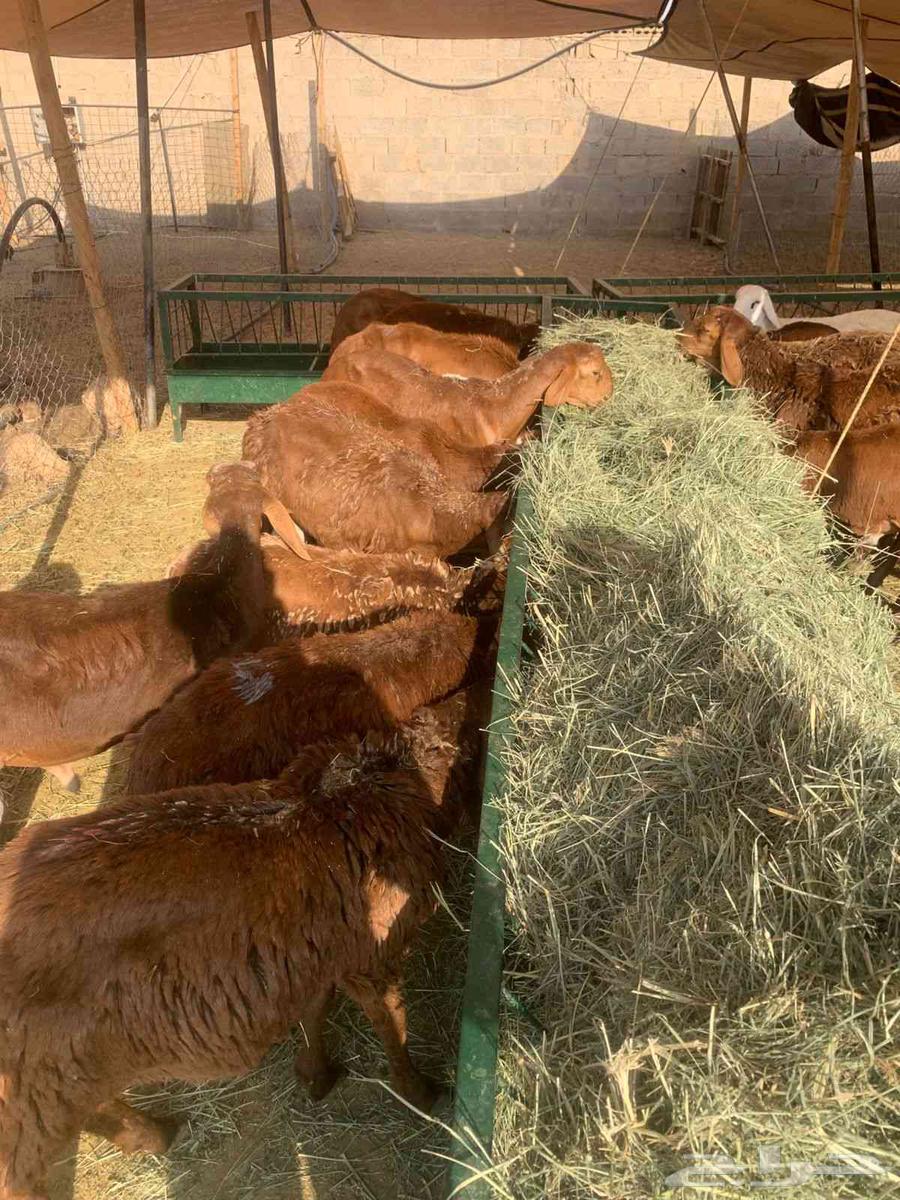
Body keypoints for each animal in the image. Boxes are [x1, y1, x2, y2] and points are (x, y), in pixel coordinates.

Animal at [0, 687, 489, 1200]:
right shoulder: (371, 955)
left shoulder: (311, 951)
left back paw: (154, 1134)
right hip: (35, 1093)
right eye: (461, 743)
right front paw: (420, 1092)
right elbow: (393, 1025)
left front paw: (315, 1074)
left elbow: (315, 1010)